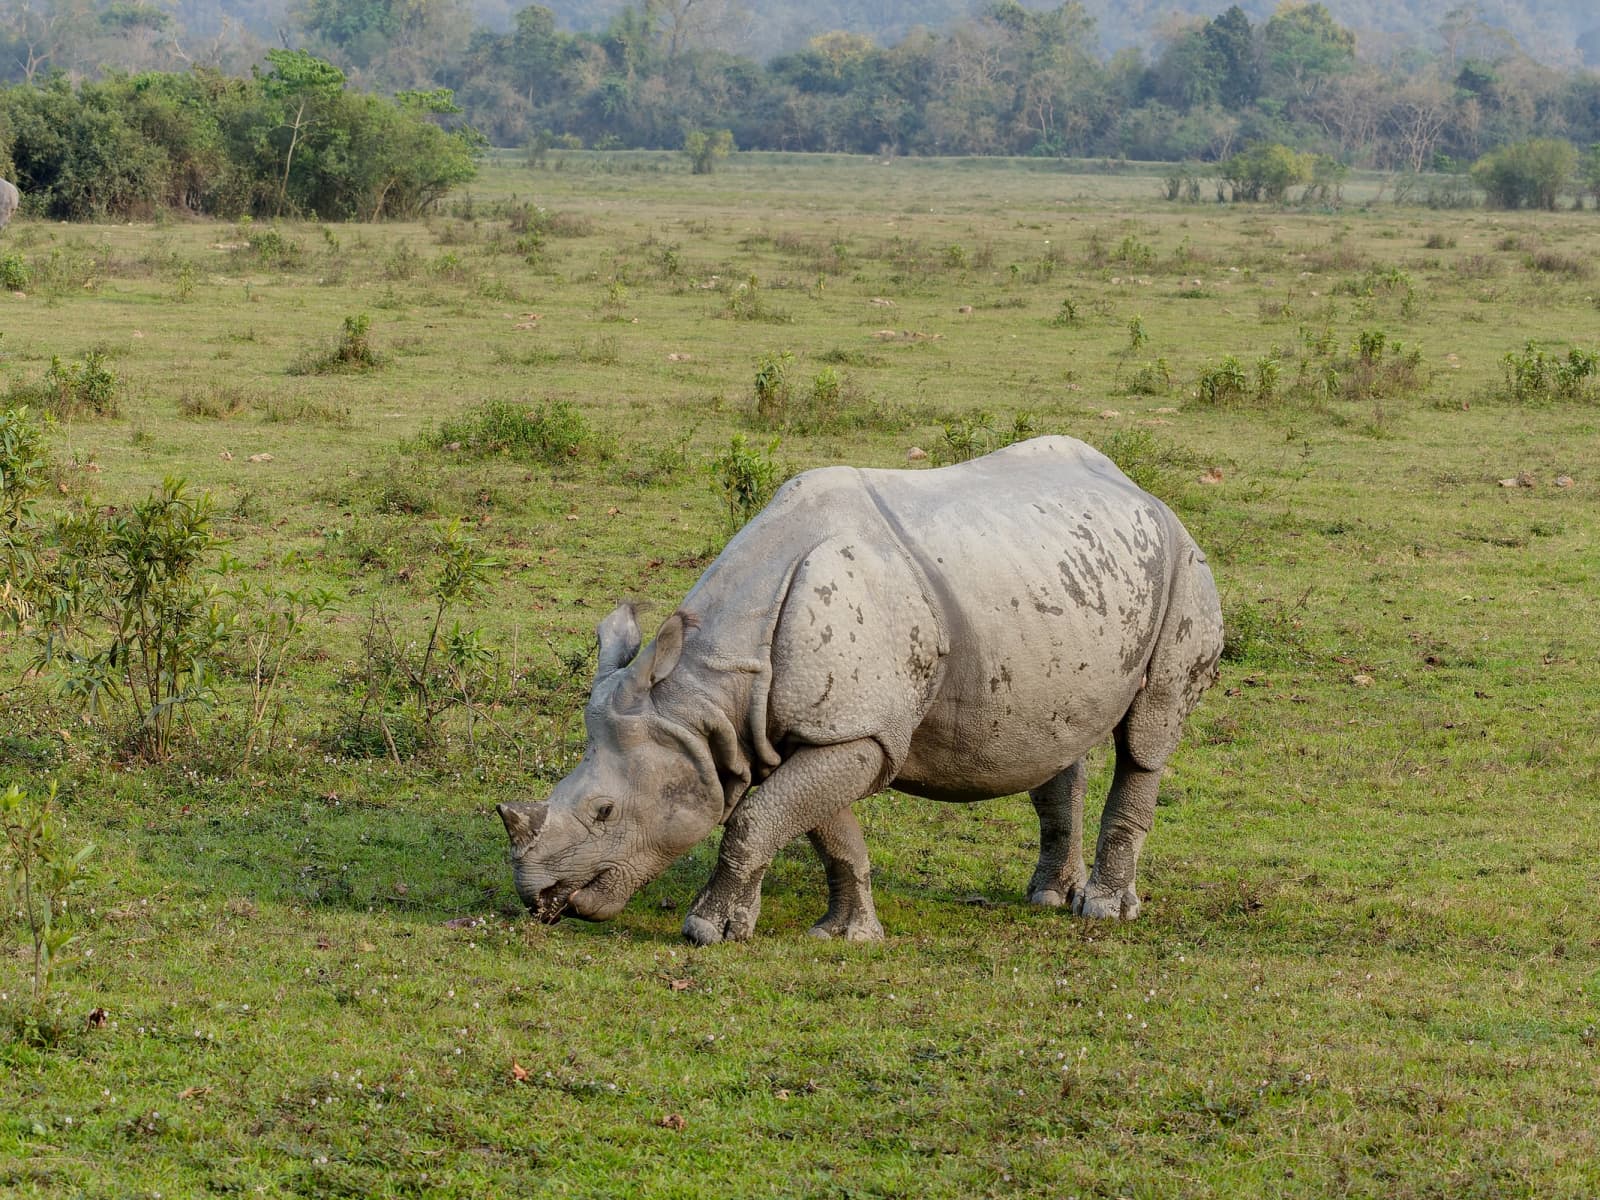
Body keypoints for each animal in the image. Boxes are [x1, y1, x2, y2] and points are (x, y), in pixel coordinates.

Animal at [499, 435, 1223, 944]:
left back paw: (1102, 912)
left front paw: (708, 931)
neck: (705, 698)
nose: (536, 896)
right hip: (1059, 582)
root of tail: (1139, 488)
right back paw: (1046, 898)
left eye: (605, 813)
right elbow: (822, 828)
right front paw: (847, 934)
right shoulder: (818, 729)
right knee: (1053, 740)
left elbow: (755, 820)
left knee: (1147, 736)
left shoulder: (856, 730)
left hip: (1185, 563)